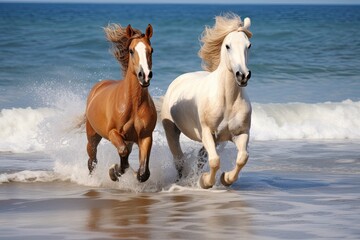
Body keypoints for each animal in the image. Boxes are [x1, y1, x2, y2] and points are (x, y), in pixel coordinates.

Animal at [86, 23, 157, 182]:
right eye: (131, 51)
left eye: (151, 50)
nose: (145, 76)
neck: (134, 105)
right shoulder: (113, 133)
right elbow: (122, 151)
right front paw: (114, 171)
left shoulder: (145, 137)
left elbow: (143, 173)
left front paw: (119, 171)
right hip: (92, 136)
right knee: (92, 160)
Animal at [162, 13, 252, 189]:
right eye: (228, 46)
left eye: (248, 45)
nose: (243, 75)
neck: (227, 102)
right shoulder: (207, 132)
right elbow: (215, 161)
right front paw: (205, 182)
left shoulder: (241, 133)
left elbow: (242, 158)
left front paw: (225, 178)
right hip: (171, 131)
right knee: (179, 159)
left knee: (200, 157)